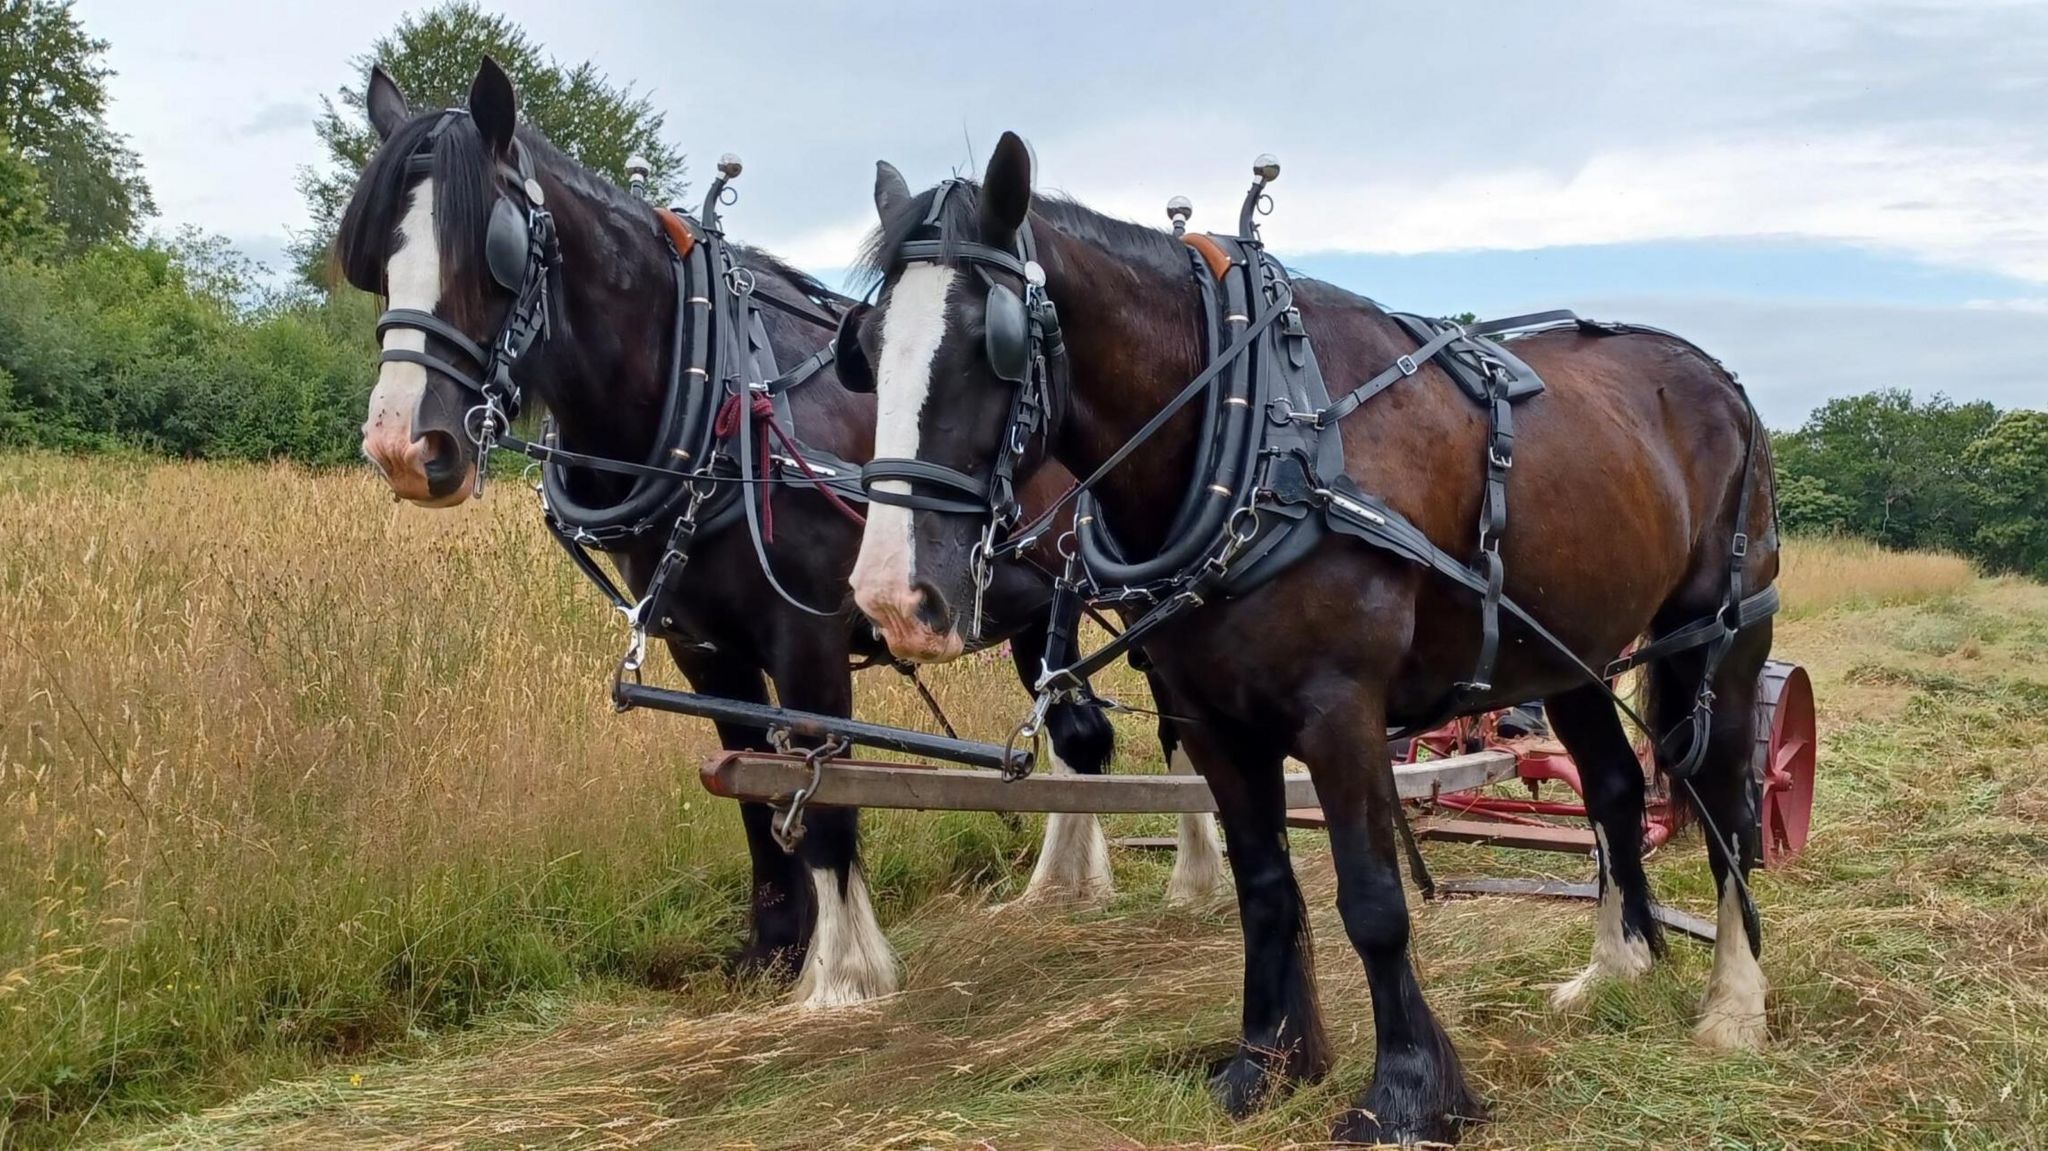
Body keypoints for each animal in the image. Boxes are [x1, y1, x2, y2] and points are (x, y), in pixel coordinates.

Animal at [344, 65, 1220, 1003]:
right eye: (375, 257)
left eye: (493, 249)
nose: (403, 446)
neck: (716, 395)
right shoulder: (704, 648)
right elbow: (751, 786)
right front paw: (773, 946)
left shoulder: (808, 635)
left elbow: (822, 787)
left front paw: (843, 972)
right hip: (1030, 605)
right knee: (1082, 734)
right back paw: (1060, 885)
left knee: (1174, 724)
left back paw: (1195, 875)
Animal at [831, 127, 1777, 1138]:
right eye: (866, 348)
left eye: (996, 342)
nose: (893, 597)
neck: (1257, 431)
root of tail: (1719, 379)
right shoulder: (1211, 721)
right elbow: (1264, 889)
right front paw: (1267, 1061)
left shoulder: (1340, 712)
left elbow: (1373, 901)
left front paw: (1407, 1090)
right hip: (1570, 654)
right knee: (1614, 790)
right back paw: (1616, 963)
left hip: (1721, 635)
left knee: (1726, 801)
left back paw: (1734, 1003)